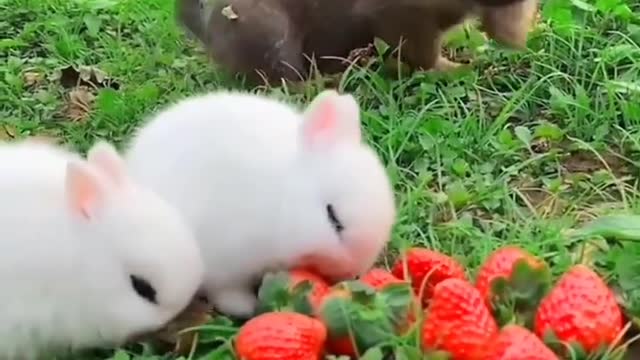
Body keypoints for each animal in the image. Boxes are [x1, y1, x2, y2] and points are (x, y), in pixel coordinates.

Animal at [124, 89, 396, 318]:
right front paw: (246, 307)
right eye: (333, 217)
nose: (352, 273)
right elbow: (226, 292)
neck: (281, 201)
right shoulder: (224, 261)